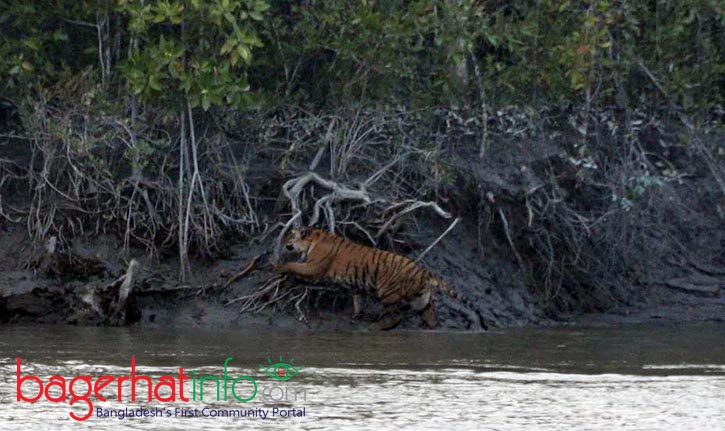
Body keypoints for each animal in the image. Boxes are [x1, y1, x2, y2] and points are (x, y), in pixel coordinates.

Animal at [274, 227, 459, 329]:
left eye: (291, 236)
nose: (285, 243)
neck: (314, 240)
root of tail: (422, 270)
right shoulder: (355, 285)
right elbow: (357, 300)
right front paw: (356, 316)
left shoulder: (314, 267)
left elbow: (294, 265)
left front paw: (277, 266)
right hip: (421, 300)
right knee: (430, 314)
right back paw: (432, 329)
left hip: (388, 292)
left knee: (395, 315)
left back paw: (376, 327)